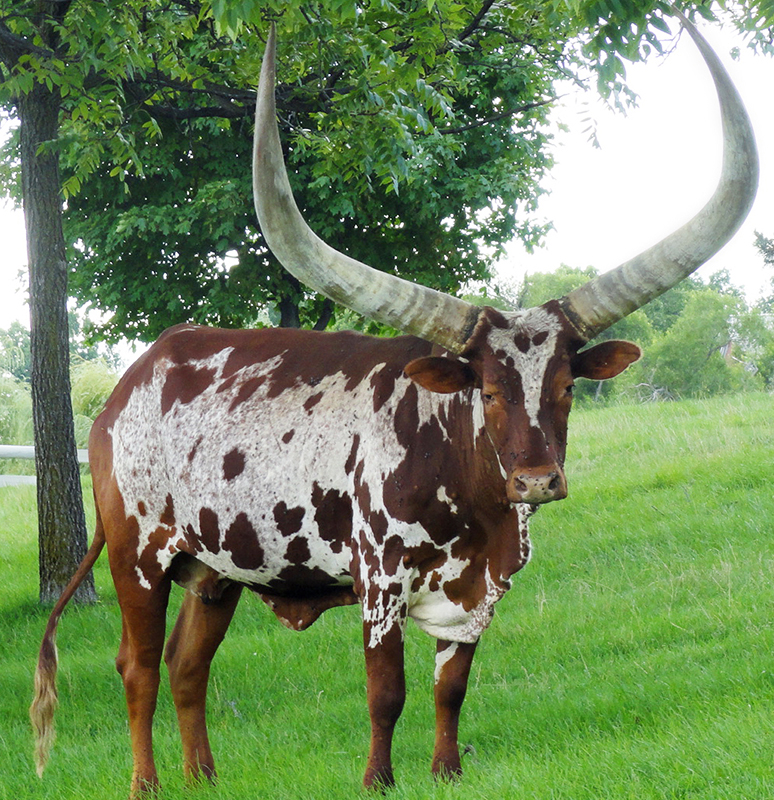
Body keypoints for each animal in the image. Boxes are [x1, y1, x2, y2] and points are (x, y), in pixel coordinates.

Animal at [30, 9, 756, 796]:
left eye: (568, 386)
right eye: (486, 389)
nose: (537, 481)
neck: (474, 500)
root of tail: (124, 389)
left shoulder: (477, 594)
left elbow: (451, 689)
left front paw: (446, 770)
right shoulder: (379, 583)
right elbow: (387, 692)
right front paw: (378, 778)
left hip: (215, 570)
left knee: (187, 666)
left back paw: (205, 779)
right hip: (138, 558)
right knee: (136, 668)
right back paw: (148, 782)